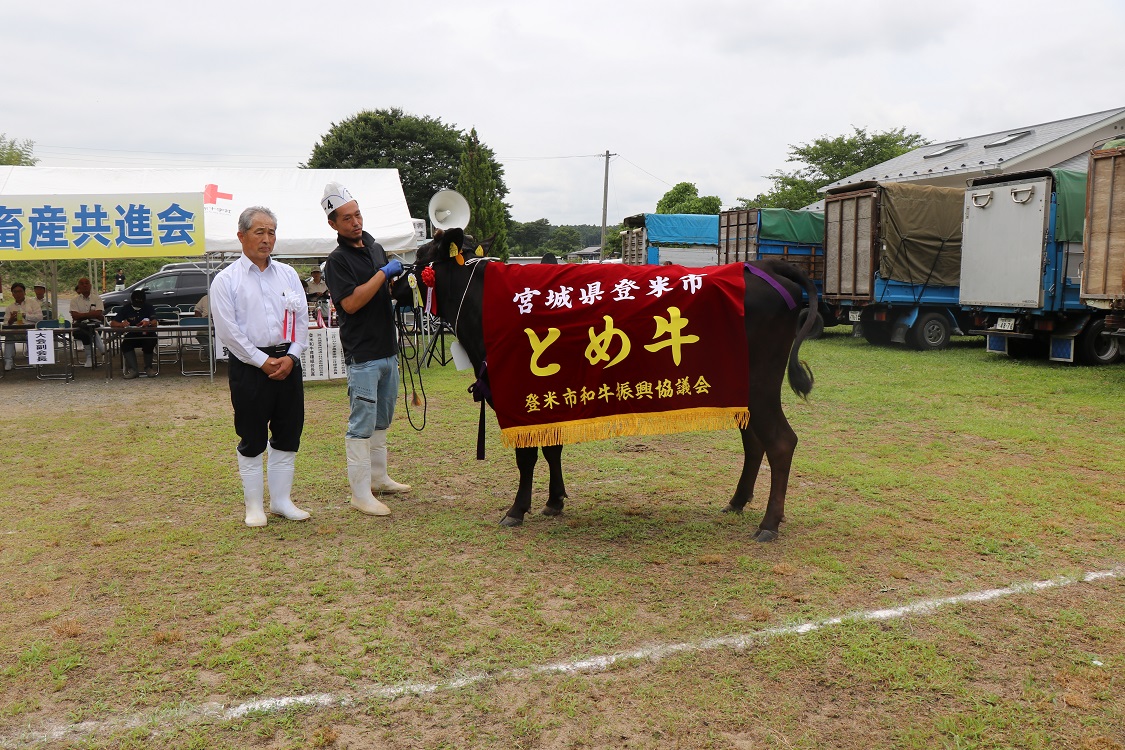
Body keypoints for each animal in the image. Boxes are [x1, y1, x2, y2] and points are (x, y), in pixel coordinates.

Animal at [396, 229, 819, 539]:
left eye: (419, 255)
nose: (391, 279)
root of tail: (762, 265)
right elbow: (553, 448)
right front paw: (554, 501)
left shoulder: (518, 394)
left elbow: (527, 455)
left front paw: (517, 509)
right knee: (755, 443)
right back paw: (737, 502)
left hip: (760, 386)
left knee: (781, 443)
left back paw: (768, 525)